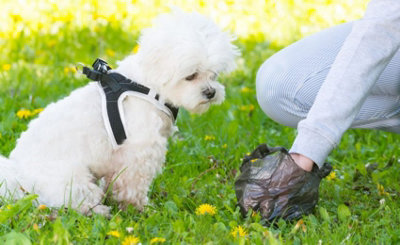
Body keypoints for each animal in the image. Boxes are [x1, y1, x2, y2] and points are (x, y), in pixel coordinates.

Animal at [0, 10, 238, 215]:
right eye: (191, 76)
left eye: (214, 74)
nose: (211, 92)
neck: (148, 85)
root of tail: (18, 175)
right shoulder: (139, 151)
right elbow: (132, 185)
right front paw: (139, 208)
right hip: (71, 180)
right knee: (77, 200)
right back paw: (98, 210)